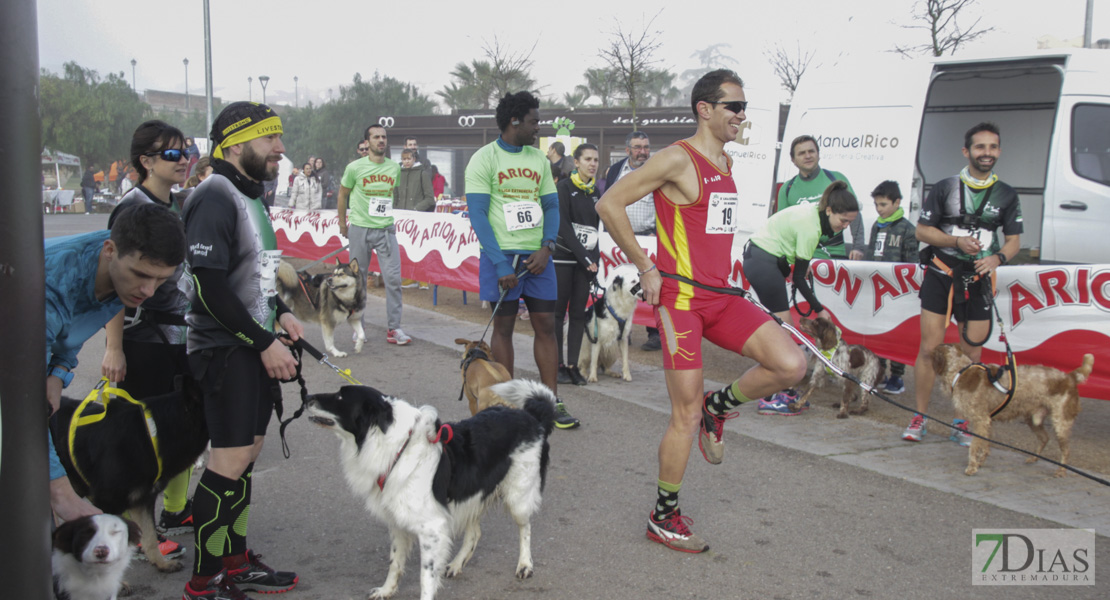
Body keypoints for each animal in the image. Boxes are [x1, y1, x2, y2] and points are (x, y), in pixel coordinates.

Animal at [306, 379, 555, 598]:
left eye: (339, 397)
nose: (306, 397)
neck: (396, 449)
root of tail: (532, 417)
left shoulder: (432, 529)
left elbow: (425, 577)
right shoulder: (399, 523)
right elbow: (394, 563)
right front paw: (386, 591)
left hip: (518, 497)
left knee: (525, 528)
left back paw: (525, 564)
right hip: (471, 496)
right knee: (475, 532)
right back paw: (456, 564)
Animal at [936, 341, 1092, 476]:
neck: (960, 371)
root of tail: (1070, 377)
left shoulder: (981, 420)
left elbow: (975, 447)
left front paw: (972, 467)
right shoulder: (987, 422)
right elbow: (985, 446)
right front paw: (980, 462)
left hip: (1060, 423)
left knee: (1066, 450)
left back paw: (1061, 470)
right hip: (1033, 419)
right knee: (1044, 438)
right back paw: (1033, 458)